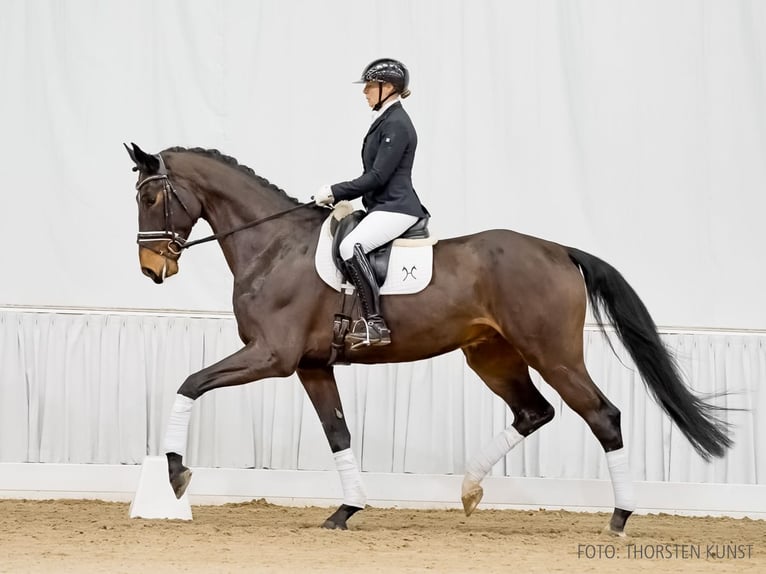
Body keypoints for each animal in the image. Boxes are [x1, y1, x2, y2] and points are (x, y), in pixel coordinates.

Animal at [124, 143, 732, 536]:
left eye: (151, 198)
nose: (152, 269)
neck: (273, 247)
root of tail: (558, 249)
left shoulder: (271, 356)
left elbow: (190, 383)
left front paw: (174, 472)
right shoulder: (312, 365)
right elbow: (338, 433)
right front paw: (346, 510)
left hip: (552, 353)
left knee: (602, 415)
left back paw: (620, 518)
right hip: (491, 356)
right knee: (533, 412)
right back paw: (468, 490)